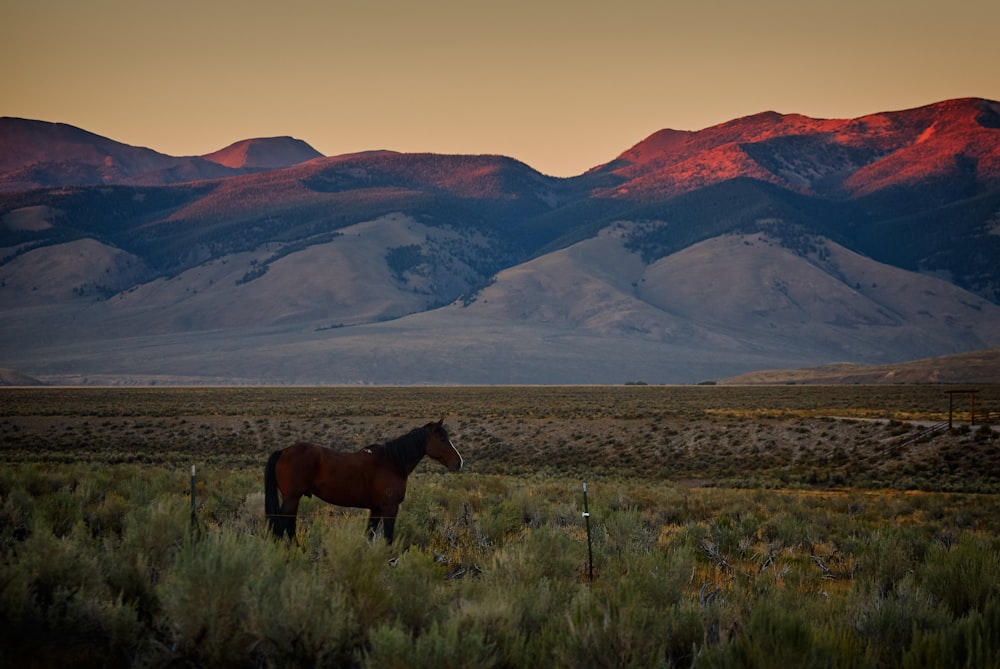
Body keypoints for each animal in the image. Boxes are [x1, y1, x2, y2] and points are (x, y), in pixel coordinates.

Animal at [260, 422, 458, 544]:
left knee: (288, 526)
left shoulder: (376, 509)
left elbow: (369, 535)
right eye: (442, 439)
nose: (459, 462)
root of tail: (283, 451)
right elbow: (388, 538)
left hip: (294, 499)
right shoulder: (390, 508)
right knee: (282, 526)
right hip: (292, 498)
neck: (391, 462)